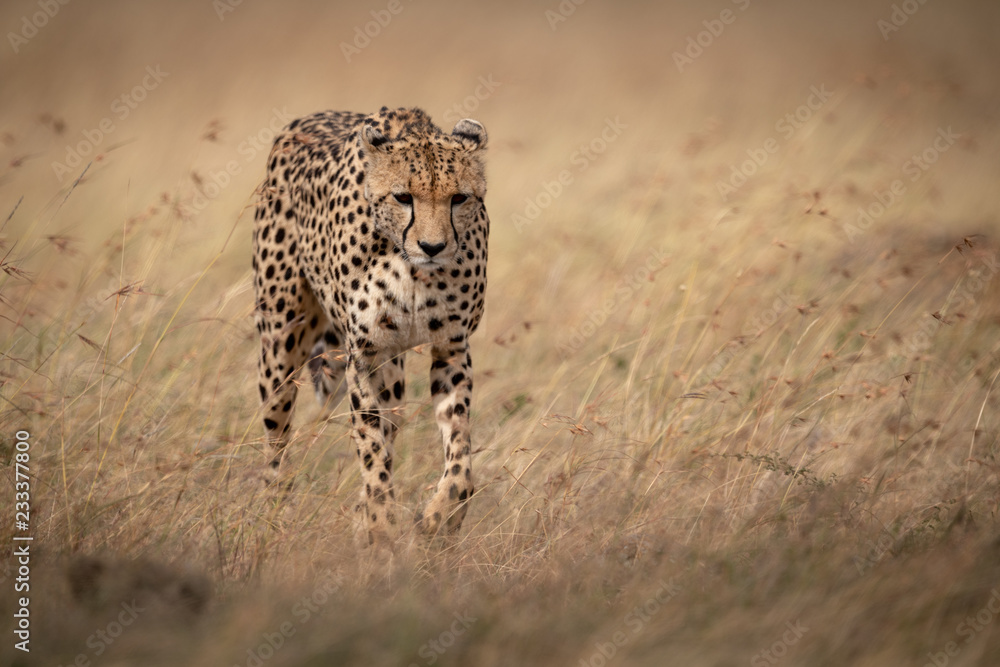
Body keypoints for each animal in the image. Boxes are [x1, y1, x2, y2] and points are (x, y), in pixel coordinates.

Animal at [251, 106, 489, 544]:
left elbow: (459, 452)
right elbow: (371, 447)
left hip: (391, 372)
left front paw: (439, 517)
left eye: (459, 198)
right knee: (276, 435)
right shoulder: (362, 355)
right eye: (403, 197)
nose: (433, 247)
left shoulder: (451, 348)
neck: (414, 269)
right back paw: (275, 510)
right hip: (281, 341)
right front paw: (380, 525)